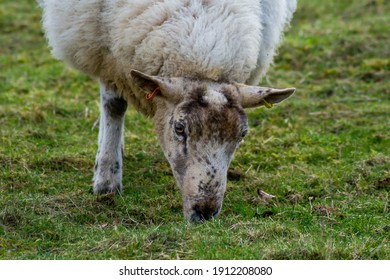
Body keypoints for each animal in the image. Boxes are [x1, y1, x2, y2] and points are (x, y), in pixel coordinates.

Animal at [40, 0, 296, 222]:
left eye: (242, 135)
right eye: (179, 128)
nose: (204, 213)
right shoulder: (104, 47)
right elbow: (114, 106)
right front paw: (106, 180)